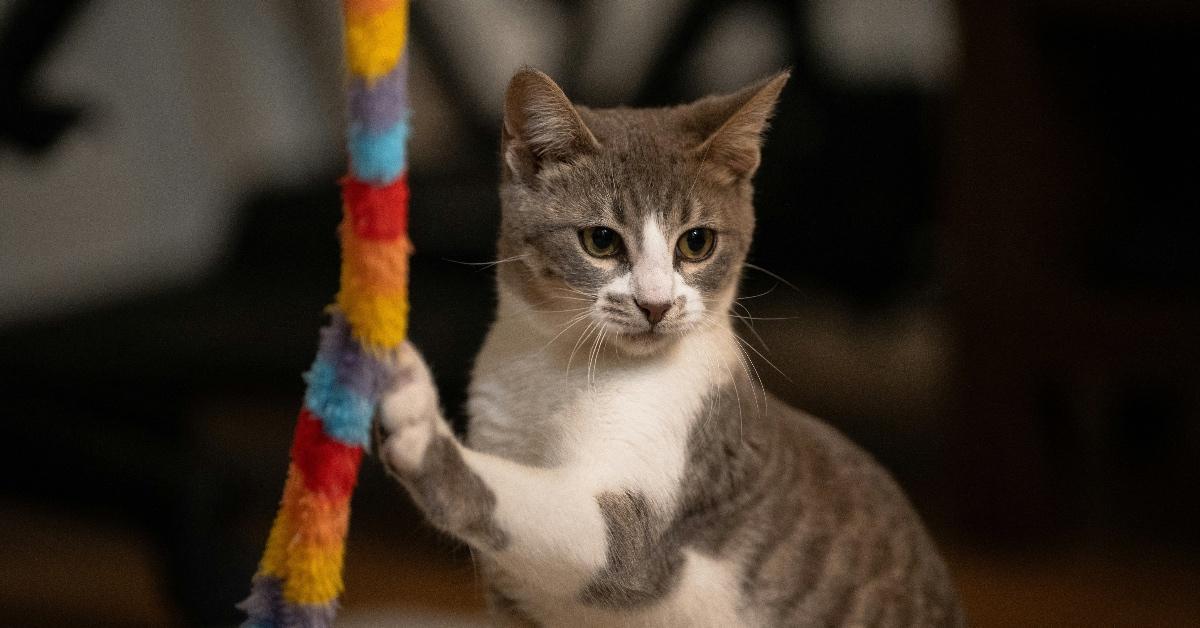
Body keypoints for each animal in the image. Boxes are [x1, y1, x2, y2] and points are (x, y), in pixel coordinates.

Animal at [376, 68, 964, 628]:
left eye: (697, 242)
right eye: (601, 240)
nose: (655, 304)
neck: (560, 370)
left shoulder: (669, 492)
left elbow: (586, 534)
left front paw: (418, 428)